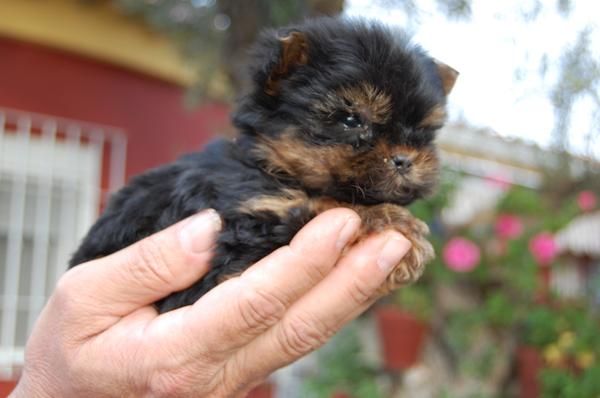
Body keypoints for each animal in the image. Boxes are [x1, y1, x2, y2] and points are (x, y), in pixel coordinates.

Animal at [70, 17, 458, 314]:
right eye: (351, 120)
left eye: (425, 131)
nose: (404, 159)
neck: (272, 168)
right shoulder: (244, 228)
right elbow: (320, 207)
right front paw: (389, 221)